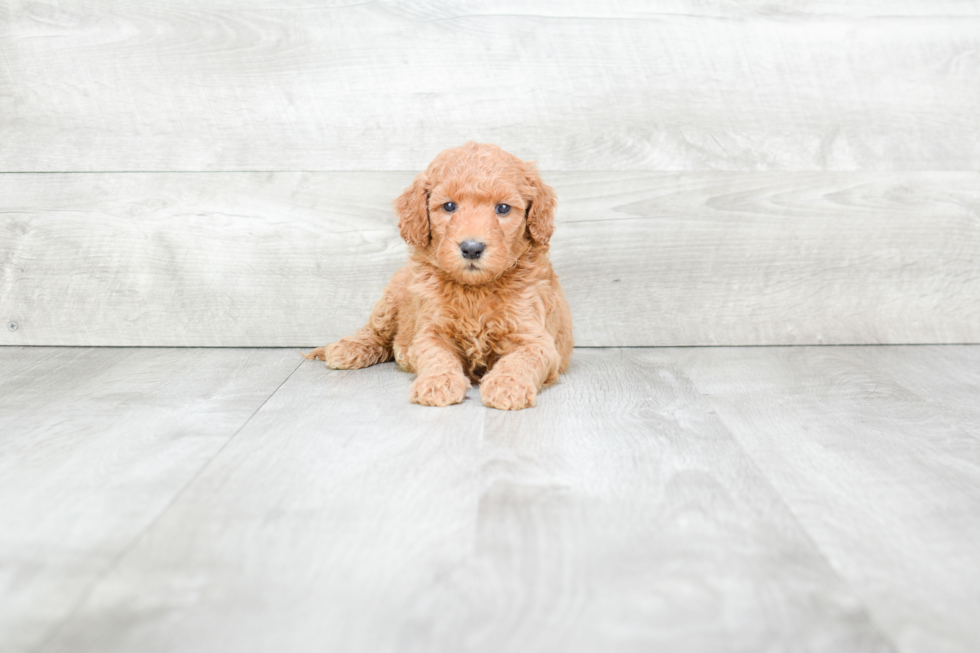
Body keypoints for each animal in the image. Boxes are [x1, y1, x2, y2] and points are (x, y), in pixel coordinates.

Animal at [306, 143, 576, 410]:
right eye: (449, 206)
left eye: (503, 208)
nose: (472, 248)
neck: (475, 290)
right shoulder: (432, 329)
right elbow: (437, 355)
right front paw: (438, 383)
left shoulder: (533, 336)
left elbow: (522, 359)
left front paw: (507, 386)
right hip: (390, 301)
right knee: (375, 333)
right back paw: (349, 348)